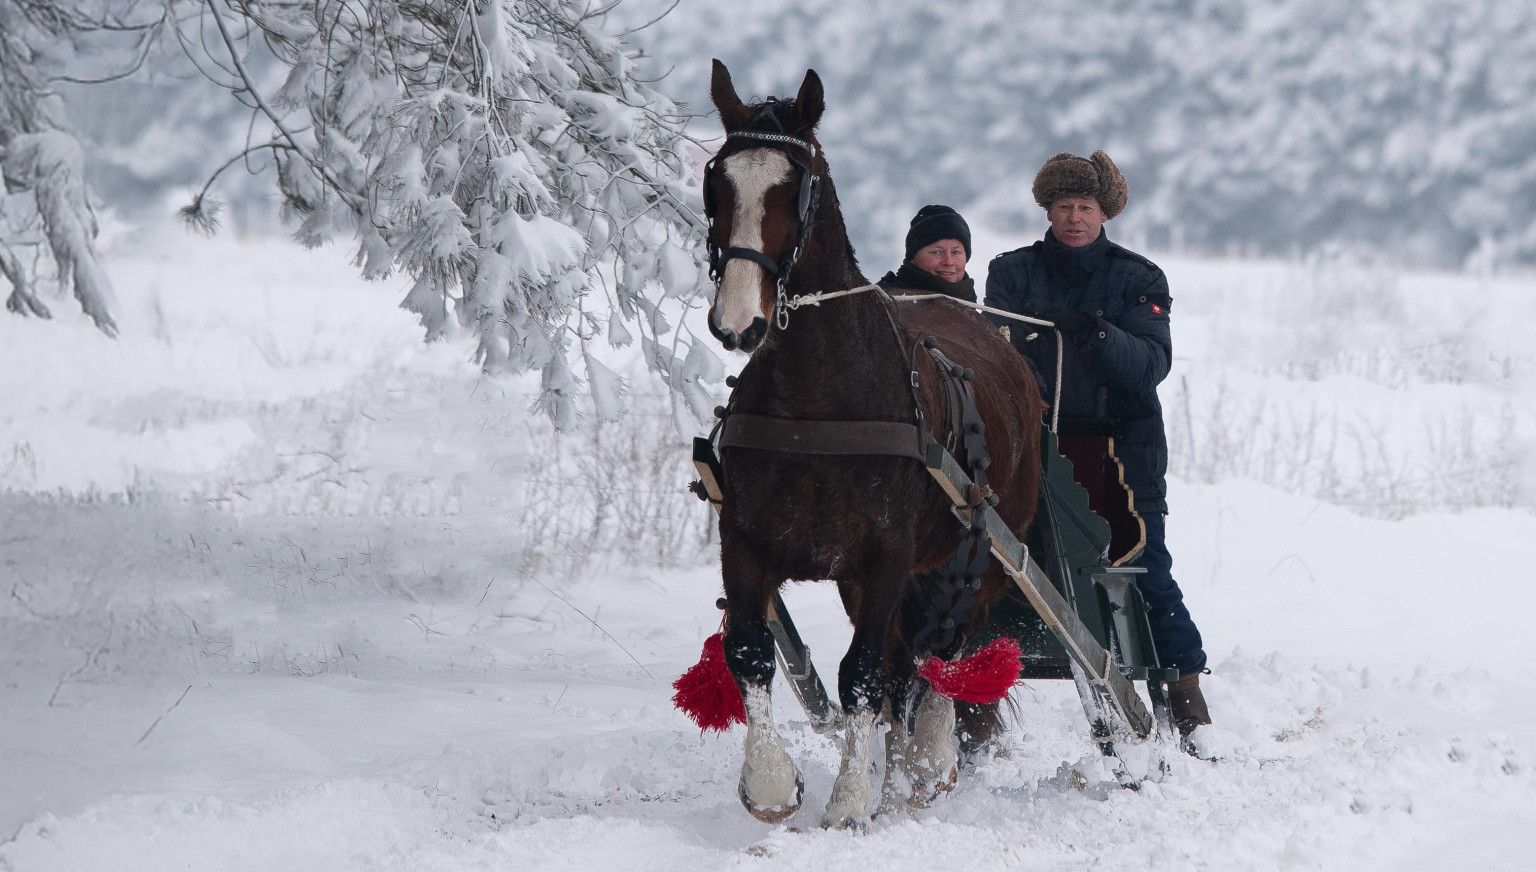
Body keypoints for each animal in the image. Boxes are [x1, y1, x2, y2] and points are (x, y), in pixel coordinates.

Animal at [700, 57, 1038, 829]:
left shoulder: (886, 554)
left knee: (945, 650)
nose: (738, 323)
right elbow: (750, 650)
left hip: (987, 552)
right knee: (904, 661)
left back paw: (927, 760)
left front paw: (851, 803)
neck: (815, 398)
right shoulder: (747, 540)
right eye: (717, 181)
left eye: (797, 188)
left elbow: (863, 673)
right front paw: (771, 784)